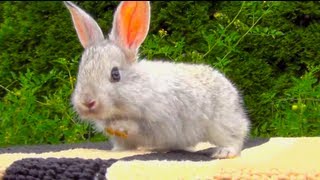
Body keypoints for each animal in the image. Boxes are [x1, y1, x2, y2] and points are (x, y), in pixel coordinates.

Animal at [64, 0, 250, 158]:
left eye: (115, 74)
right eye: (81, 72)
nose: (87, 102)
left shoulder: (159, 120)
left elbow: (136, 126)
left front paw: (118, 126)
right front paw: (116, 148)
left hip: (222, 123)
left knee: (235, 137)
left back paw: (224, 152)